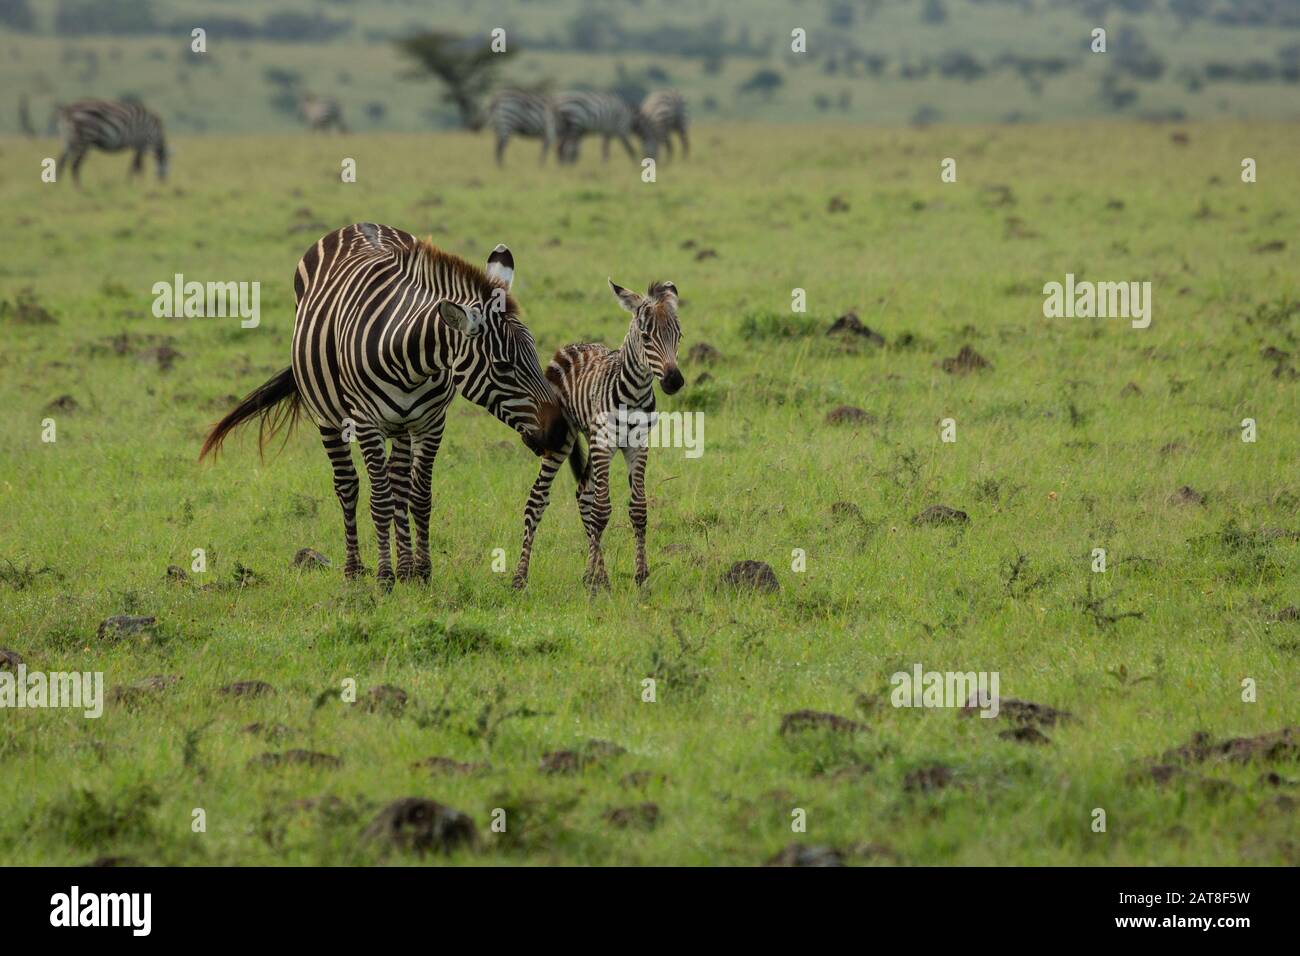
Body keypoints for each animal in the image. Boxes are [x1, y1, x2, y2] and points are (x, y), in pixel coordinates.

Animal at [200, 222, 566, 590]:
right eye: (503, 366)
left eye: (535, 353)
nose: (561, 431)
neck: (412, 360)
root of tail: (358, 225)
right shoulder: (366, 424)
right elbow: (379, 499)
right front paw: (385, 577)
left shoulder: (432, 422)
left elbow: (419, 496)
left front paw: (420, 572)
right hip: (328, 417)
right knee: (348, 485)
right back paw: (355, 570)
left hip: (403, 425)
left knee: (399, 484)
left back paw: (405, 567)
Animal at [512, 278, 686, 590]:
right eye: (646, 336)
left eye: (678, 335)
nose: (673, 381)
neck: (635, 393)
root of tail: (572, 345)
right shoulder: (604, 444)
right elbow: (602, 510)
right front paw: (593, 581)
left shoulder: (638, 445)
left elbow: (637, 509)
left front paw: (640, 577)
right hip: (563, 439)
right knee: (538, 500)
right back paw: (521, 577)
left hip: (591, 440)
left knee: (584, 493)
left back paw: (600, 575)